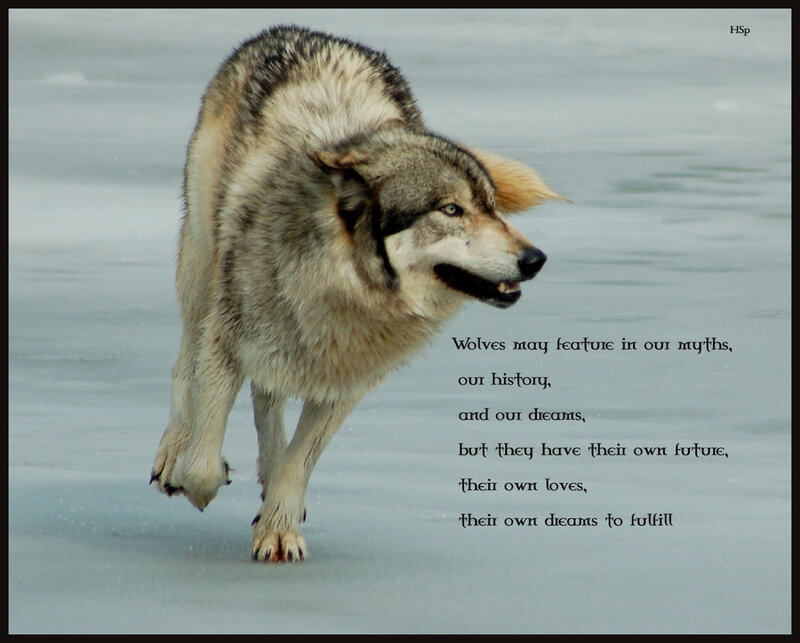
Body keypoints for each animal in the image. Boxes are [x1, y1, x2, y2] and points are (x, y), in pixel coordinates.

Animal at [150, 25, 564, 563]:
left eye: (492, 207)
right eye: (451, 210)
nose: (536, 259)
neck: (346, 289)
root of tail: (297, 29)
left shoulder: (347, 380)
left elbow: (300, 461)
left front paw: (279, 527)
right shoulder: (227, 337)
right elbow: (203, 460)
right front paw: (196, 479)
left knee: (267, 397)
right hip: (201, 267)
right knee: (187, 362)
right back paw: (171, 455)